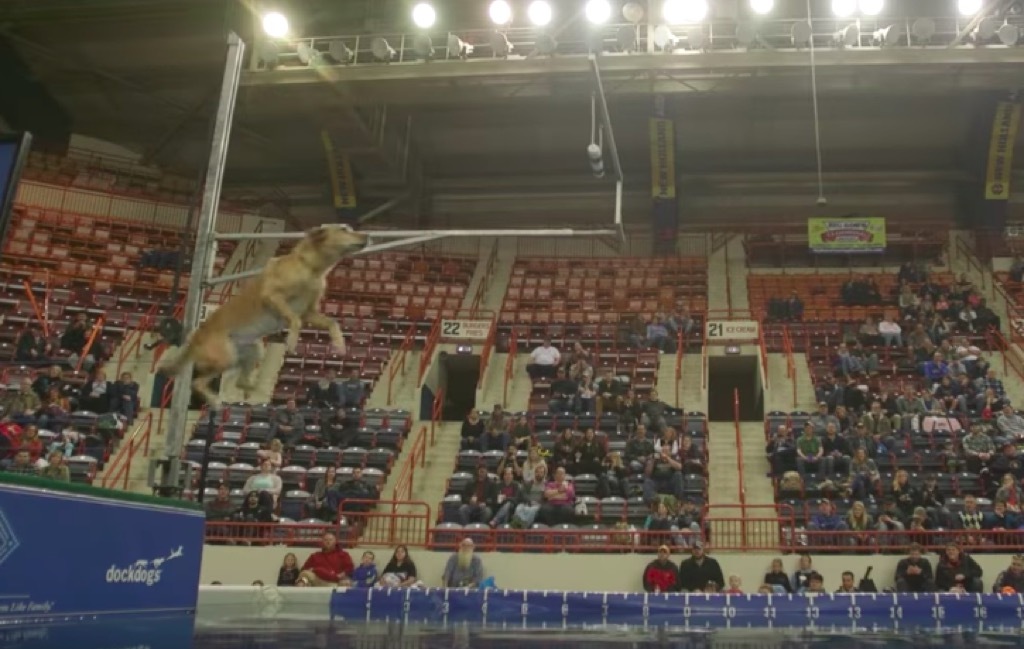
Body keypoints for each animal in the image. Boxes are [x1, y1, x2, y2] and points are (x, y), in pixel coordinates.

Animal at [159, 223, 368, 405]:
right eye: (344, 229)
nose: (367, 236)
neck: (310, 267)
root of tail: (196, 335)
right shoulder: (272, 297)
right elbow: (295, 320)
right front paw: (292, 341)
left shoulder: (309, 312)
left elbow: (333, 323)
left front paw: (339, 345)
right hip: (225, 357)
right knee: (198, 382)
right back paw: (215, 400)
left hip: (253, 350)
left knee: (240, 382)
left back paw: (255, 391)